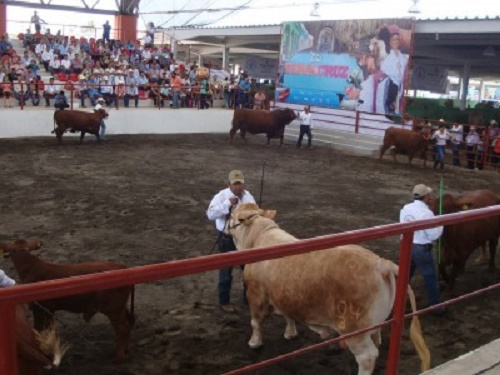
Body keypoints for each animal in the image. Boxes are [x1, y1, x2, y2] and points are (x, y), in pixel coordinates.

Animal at [0, 241, 135, 364]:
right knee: (127, 323)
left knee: (122, 328)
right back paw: (126, 350)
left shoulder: (38, 308)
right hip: (121, 308)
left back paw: (119, 357)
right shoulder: (49, 310)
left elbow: (38, 329)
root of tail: (122, 267)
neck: (30, 267)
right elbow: (47, 329)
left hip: (113, 309)